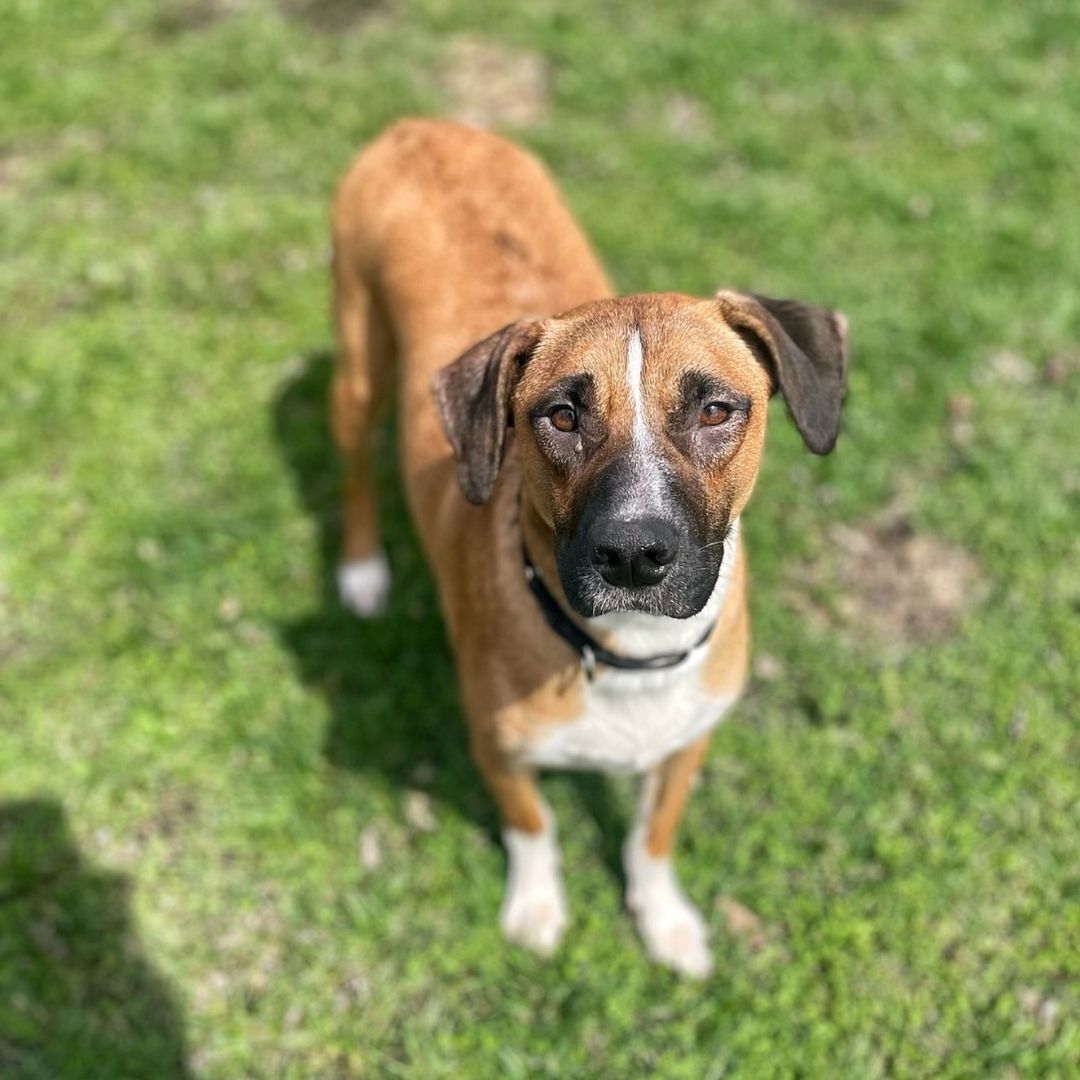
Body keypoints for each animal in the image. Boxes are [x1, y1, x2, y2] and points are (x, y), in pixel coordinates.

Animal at [328, 118, 842, 980]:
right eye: (562, 416)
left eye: (715, 410)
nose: (633, 554)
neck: (628, 653)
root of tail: (420, 128)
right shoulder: (497, 750)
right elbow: (534, 829)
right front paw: (536, 910)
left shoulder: (685, 746)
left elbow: (652, 838)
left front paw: (664, 920)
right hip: (358, 366)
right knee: (357, 467)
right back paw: (363, 570)